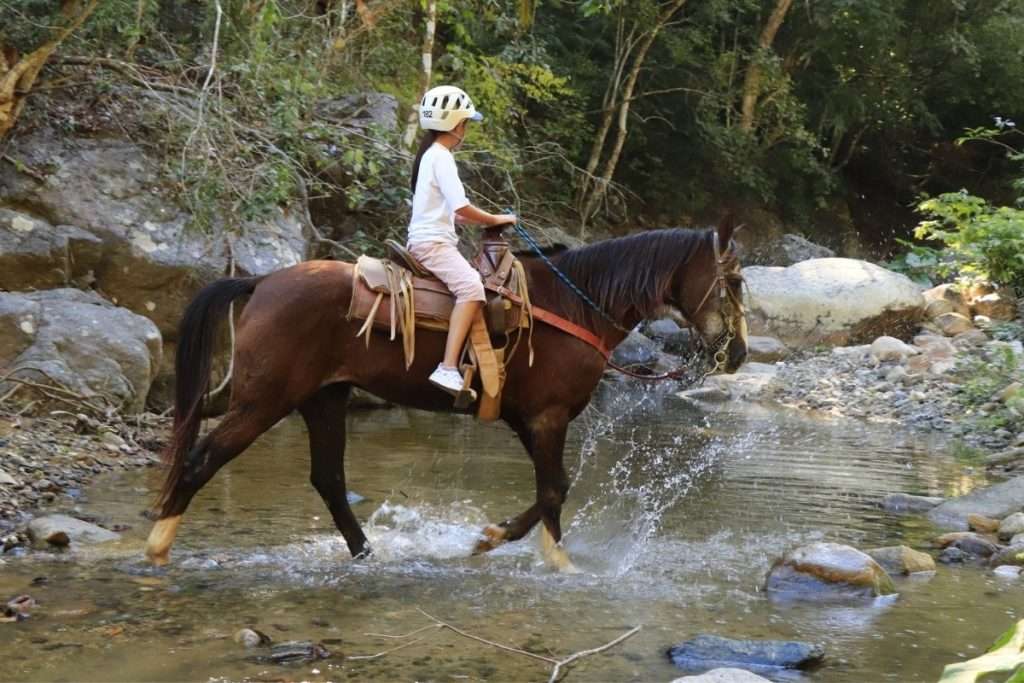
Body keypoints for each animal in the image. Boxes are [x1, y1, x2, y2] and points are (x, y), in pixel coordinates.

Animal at [145, 217, 748, 570]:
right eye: (736, 282)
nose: (739, 353)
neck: (574, 306)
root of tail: (261, 283)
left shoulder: (527, 418)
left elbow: (552, 488)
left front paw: (506, 543)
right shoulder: (548, 417)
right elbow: (554, 490)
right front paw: (541, 556)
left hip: (325, 398)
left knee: (329, 480)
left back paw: (368, 555)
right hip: (264, 402)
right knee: (201, 461)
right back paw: (156, 547)